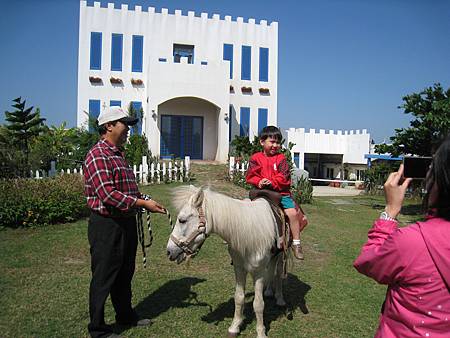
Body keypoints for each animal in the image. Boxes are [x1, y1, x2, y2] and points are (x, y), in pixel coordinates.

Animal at [167, 186, 286, 336]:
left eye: (182, 220)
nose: (169, 251)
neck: (248, 234)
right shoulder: (239, 268)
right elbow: (239, 298)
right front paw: (234, 327)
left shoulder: (258, 273)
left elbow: (258, 304)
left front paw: (261, 332)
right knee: (271, 270)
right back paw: (269, 291)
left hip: (281, 256)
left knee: (279, 273)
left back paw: (280, 299)